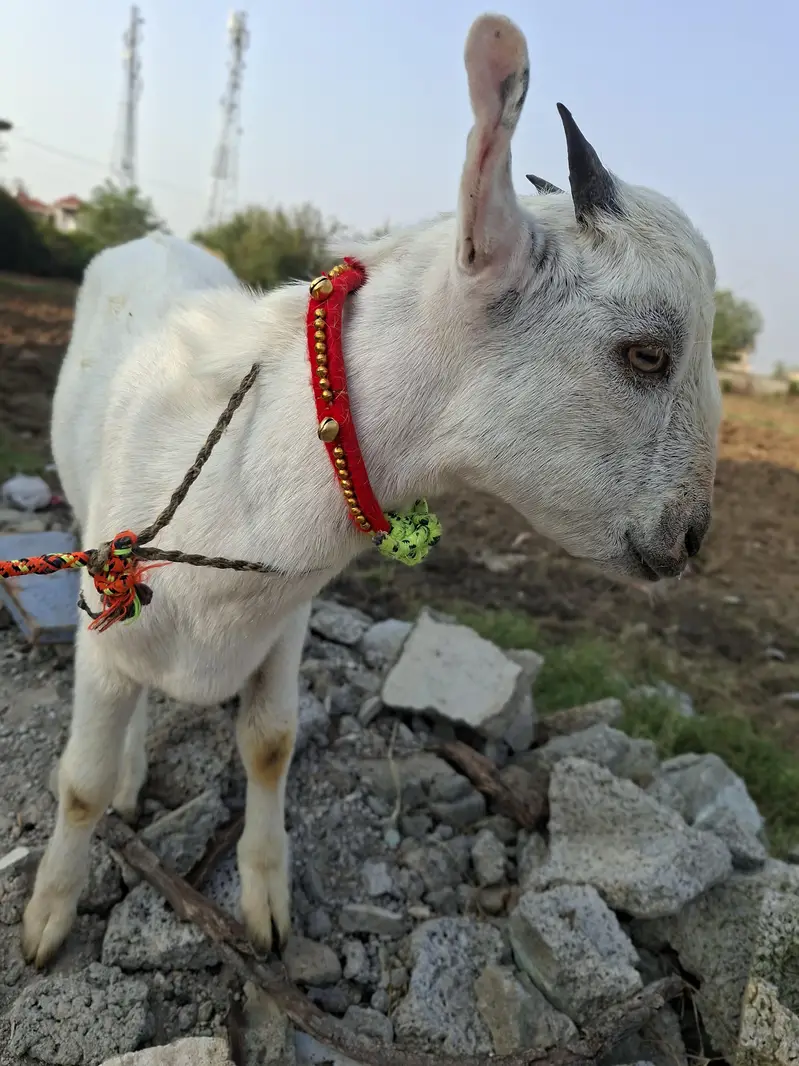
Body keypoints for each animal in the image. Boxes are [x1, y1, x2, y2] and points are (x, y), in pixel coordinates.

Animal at [23, 13, 720, 967]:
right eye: (646, 354)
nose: (692, 535)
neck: (247, 476)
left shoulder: (283, 621)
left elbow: (271, 744)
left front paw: (267, 903)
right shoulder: (110, 608)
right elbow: (82, 784)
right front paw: (48, 919)